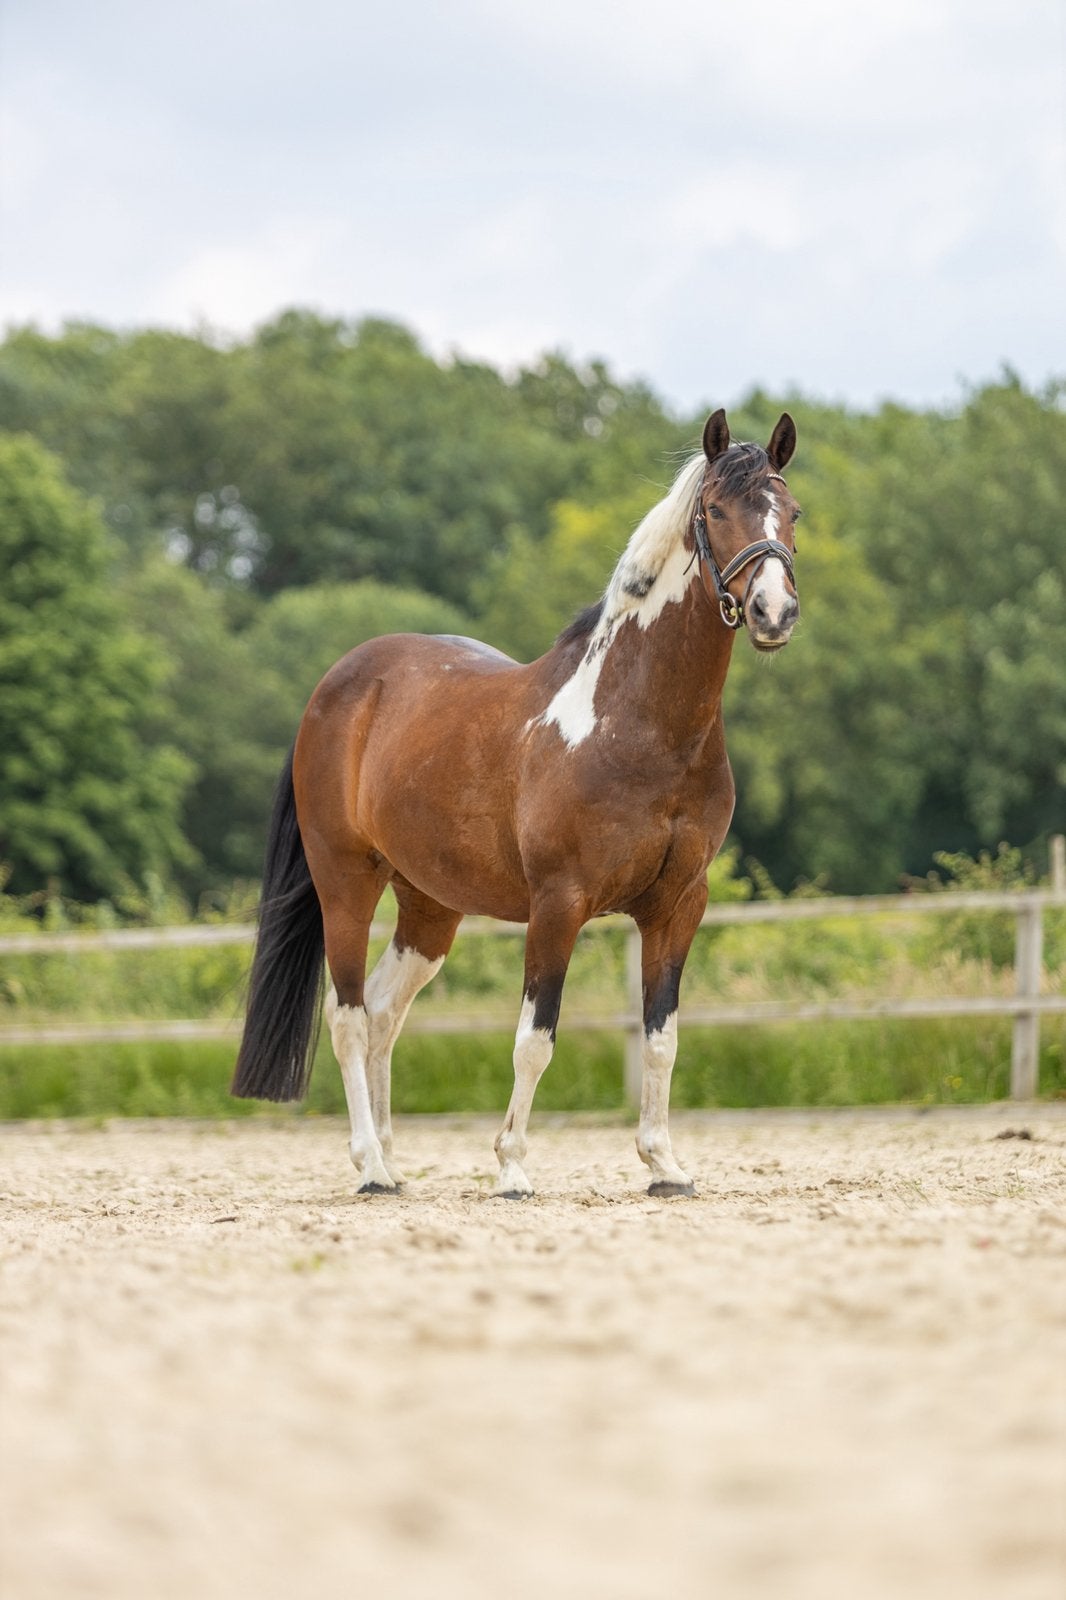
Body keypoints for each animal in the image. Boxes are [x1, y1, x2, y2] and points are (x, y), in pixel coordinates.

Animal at [232, 408, 802, 1196]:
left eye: (793, 512)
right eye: (715, 511)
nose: (774, 611)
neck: (638, 724)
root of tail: (338, 686)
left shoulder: (678, 904)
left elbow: (661, 1039)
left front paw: (664, 1164)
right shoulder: (558, 903)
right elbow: (535, 1040)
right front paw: (511, 1168)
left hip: (429, 907)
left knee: (383, 1011)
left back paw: (393, 1159)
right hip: (345, 883)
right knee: (347, 1015)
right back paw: (371, 1166)